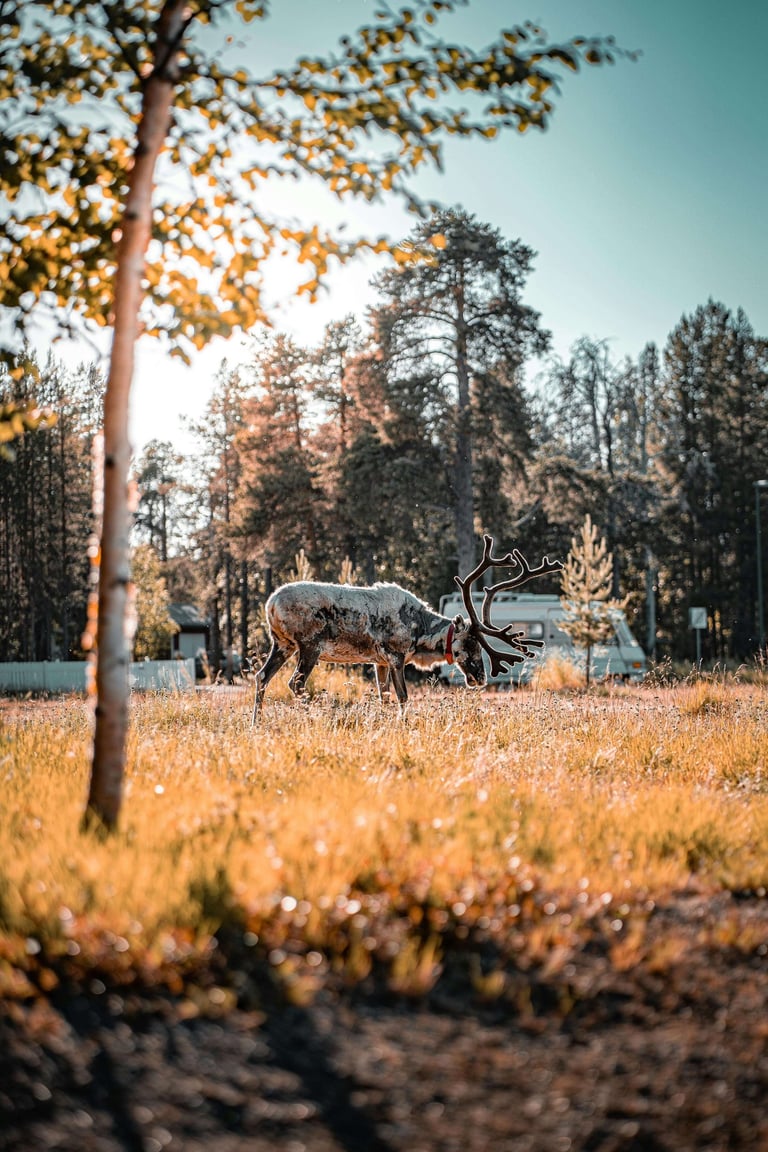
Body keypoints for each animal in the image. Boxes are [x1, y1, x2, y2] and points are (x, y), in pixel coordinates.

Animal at [251, 535, 562, 721]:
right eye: (470, 643)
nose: (480, 677)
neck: (420, 632)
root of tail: (270, 604)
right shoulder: (396, 655)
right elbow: (403, 696)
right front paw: (403, 724)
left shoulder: (378, 661)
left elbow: (384, 696)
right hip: (309, 645)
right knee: (295, 682)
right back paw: (315, 716)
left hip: (282, 644)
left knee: (262, 676)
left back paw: (257, 722)